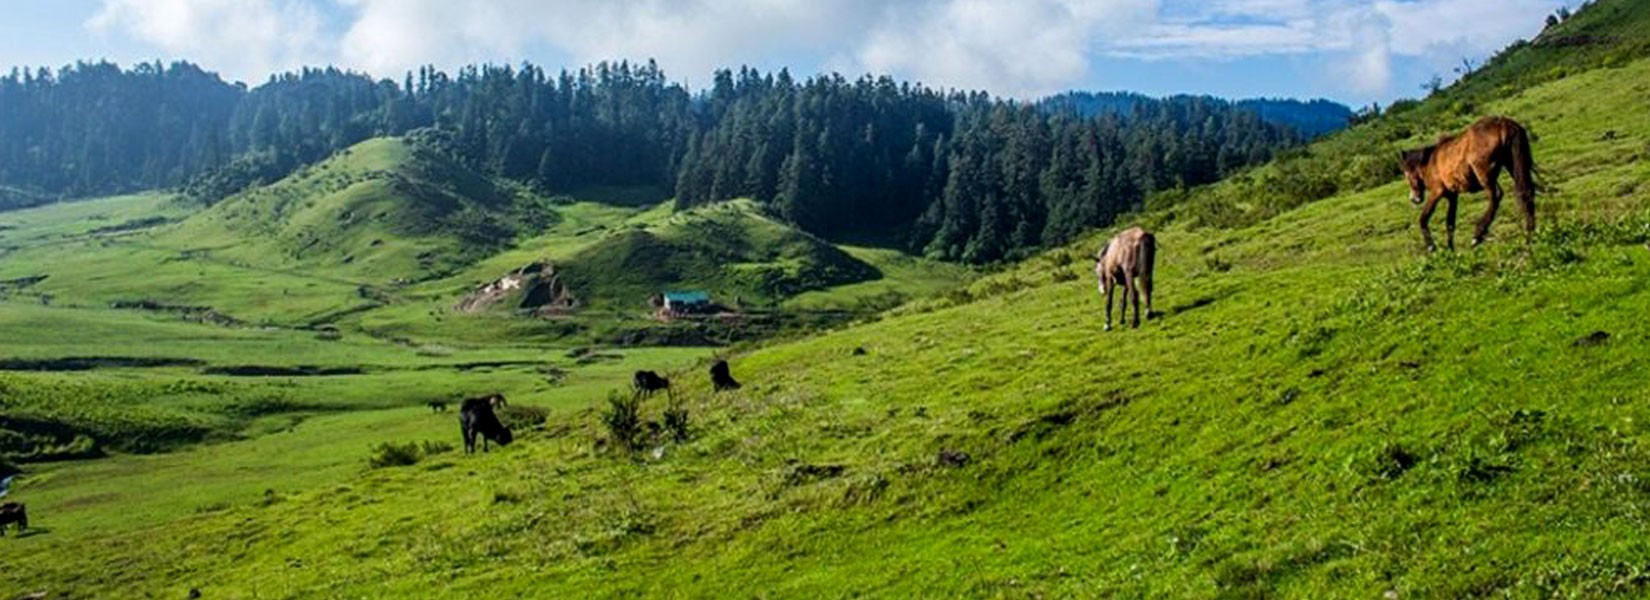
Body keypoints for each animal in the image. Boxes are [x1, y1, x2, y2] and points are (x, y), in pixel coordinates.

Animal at [1399, 114, 1537, 250]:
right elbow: (1450, 223)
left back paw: (1478, 235)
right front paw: (1451, 250)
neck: (1429, 163)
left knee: (1496, 195)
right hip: (1512, 164)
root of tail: (1503, 123)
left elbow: (1423, 218)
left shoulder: (1436, 192)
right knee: (1525, 192)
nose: (1414, 199)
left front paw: (1431, 245)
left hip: (1484, 174)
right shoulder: (1452, 196)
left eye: (1406, 174)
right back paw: (1530, 233)